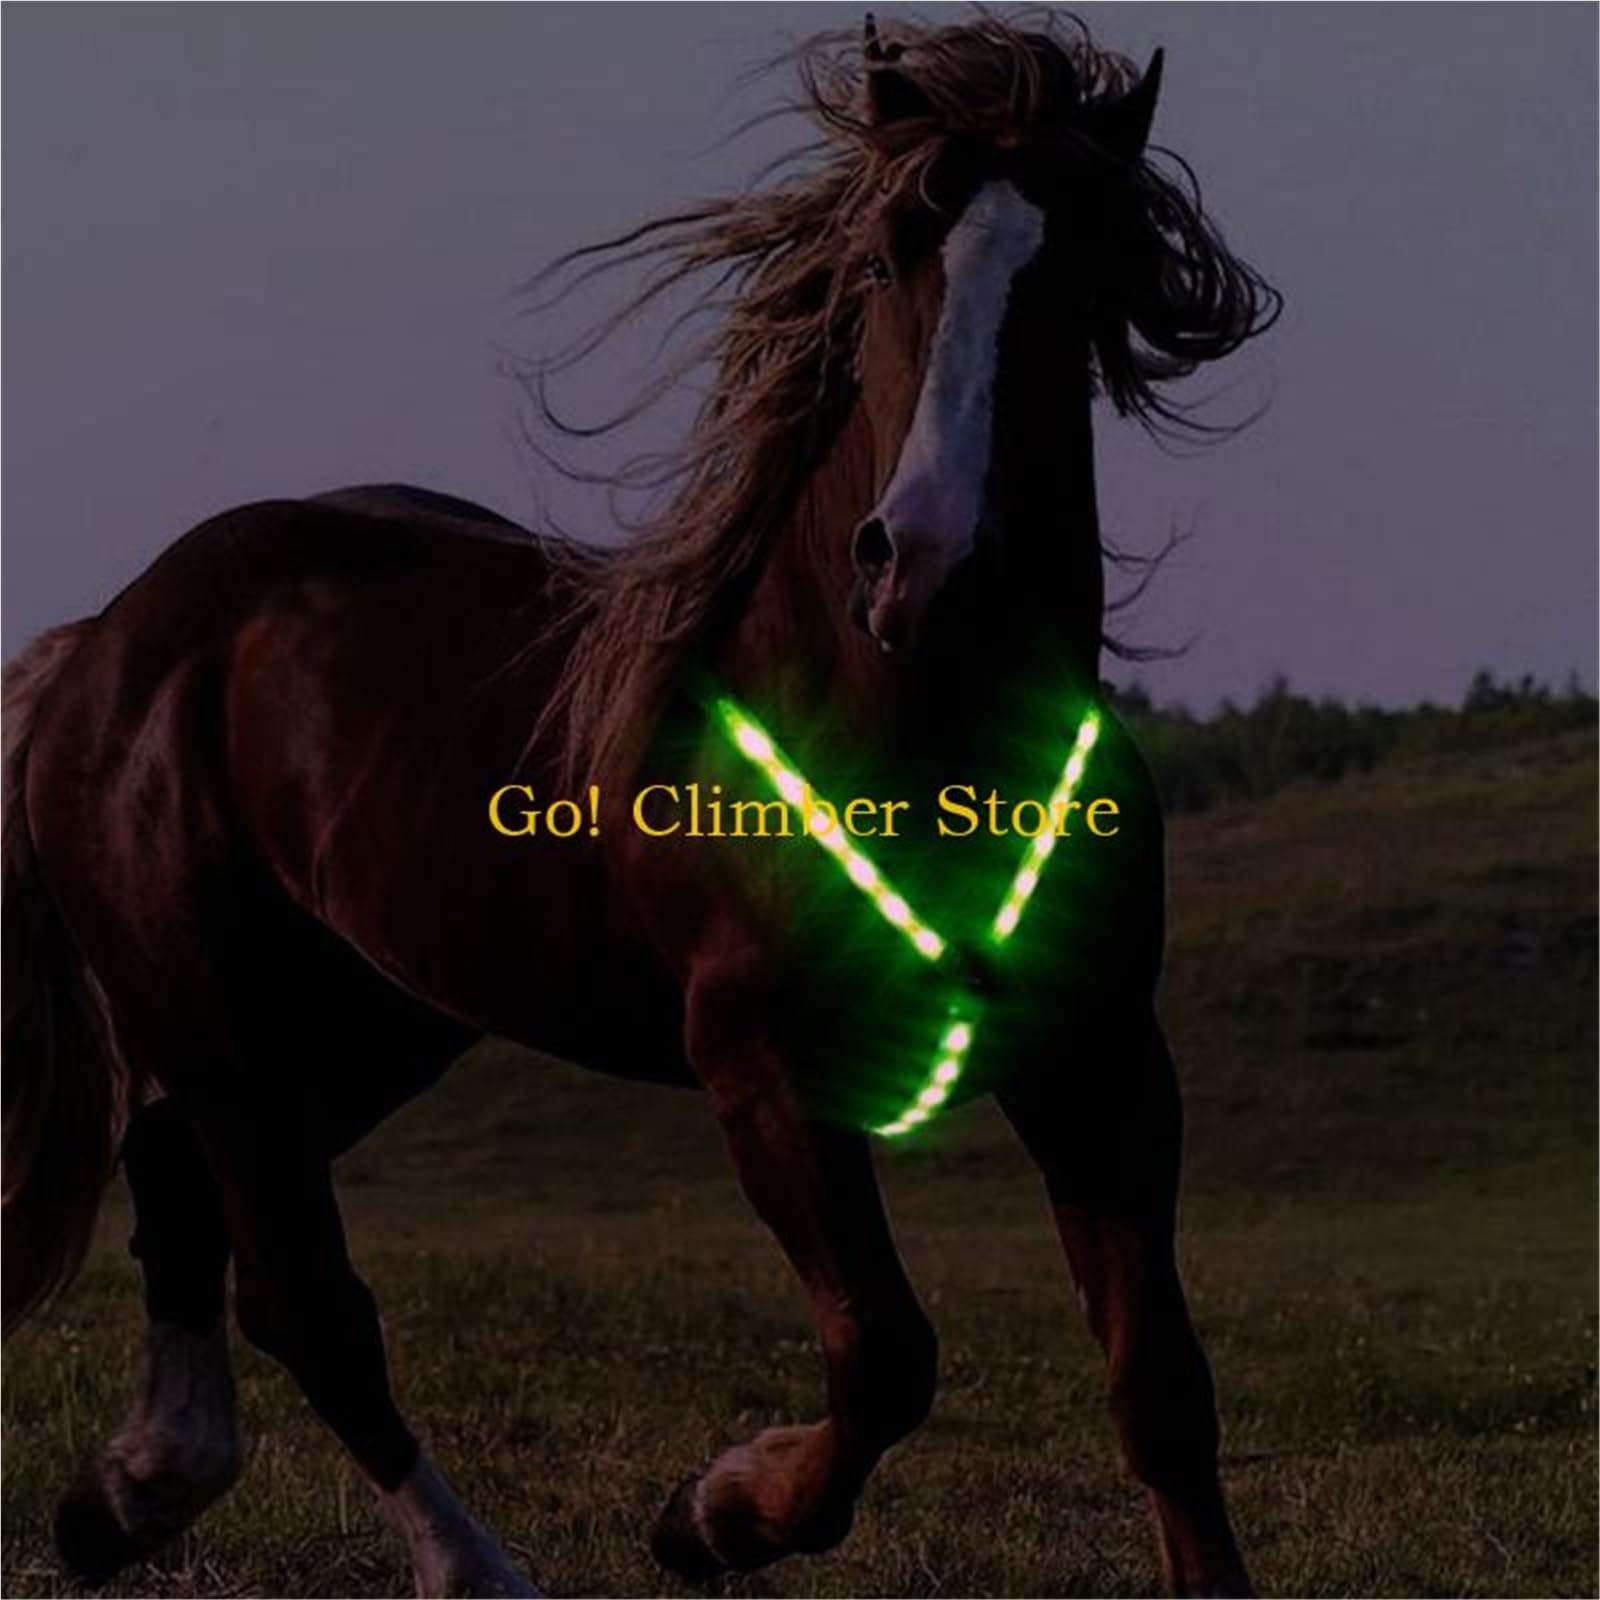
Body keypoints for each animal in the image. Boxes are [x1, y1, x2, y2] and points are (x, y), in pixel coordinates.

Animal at [2, 16, 1278, 1596]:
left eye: (1082, 266)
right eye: (883, 261)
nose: (924, 568)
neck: (908, 726)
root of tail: (109, 639)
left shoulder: (1099, 1058)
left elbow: (1157, 1385)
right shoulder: (763, 1072)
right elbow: (887, 1357)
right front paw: (710, 1514)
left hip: (369, 1018)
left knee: (182, 1189)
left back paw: (125, 1498)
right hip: (217, 1019)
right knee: (307, 1299)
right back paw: (464, 1566)